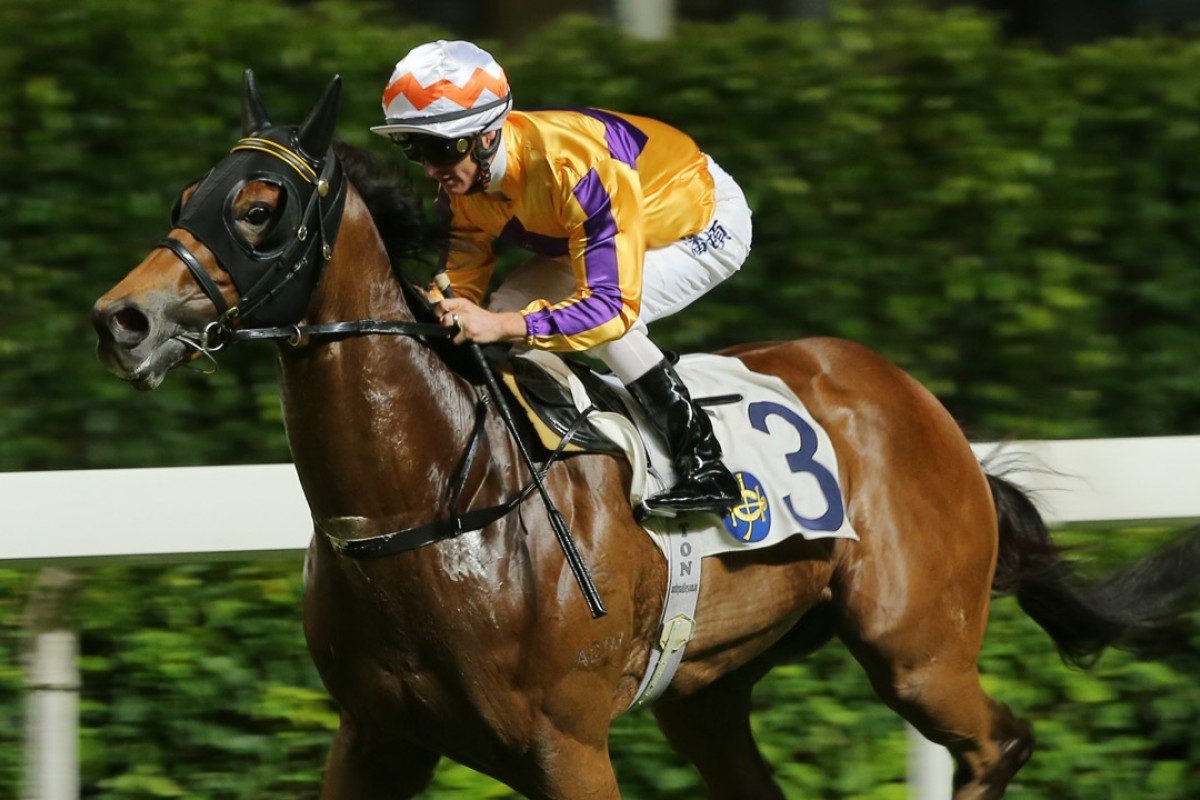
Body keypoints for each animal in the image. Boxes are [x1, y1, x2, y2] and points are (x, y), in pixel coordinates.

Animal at [88, 71, 1195, 796]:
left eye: (260, 206)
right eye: (186, 198)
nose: (121, 319)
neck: (431, 505)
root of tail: (922, 407)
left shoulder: (566, 744)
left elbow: (605, 302)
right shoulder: (376, 736)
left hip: (916, 647)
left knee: (996, 743)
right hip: (706, 689)